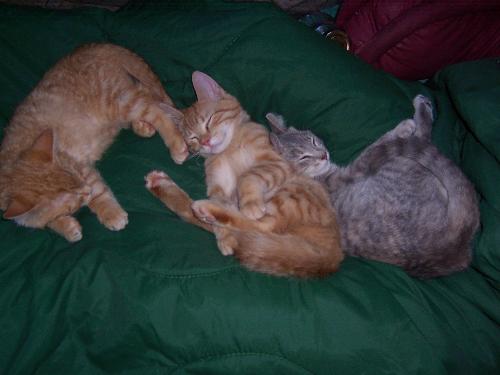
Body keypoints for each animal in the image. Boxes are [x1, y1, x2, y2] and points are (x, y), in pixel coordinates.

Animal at [0, 42, 188, 242]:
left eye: (79, 181)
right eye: (72, 202)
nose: (86, 191)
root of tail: (97, 46)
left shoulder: (84, 169)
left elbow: (99, 193)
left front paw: (111, 213)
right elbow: (43, 221)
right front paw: (66, 227)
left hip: (121, 102)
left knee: (156, 109)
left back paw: (175, 144)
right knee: (148, 97)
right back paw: (142, 126)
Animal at [143, 71, 342, 280]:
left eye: (209, 121)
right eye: (192, 138)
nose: (205, 142)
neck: (229, 148)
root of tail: (332, 256)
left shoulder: (276, 162)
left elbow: (248, 176)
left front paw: (250, 204)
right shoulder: (218, 187)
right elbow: (223, 211)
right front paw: (224, 237)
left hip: (291, 193)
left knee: (263, 226)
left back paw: (205, 208)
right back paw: (165, 187)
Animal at [270, 96, 480, 280]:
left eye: (313, 140)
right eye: (303, 157)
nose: (323, 155)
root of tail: (452, 243)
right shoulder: (354, 170)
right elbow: (376, 145)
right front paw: (405, 126)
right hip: (402, 162)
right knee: (422, 140)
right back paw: (422, 111)